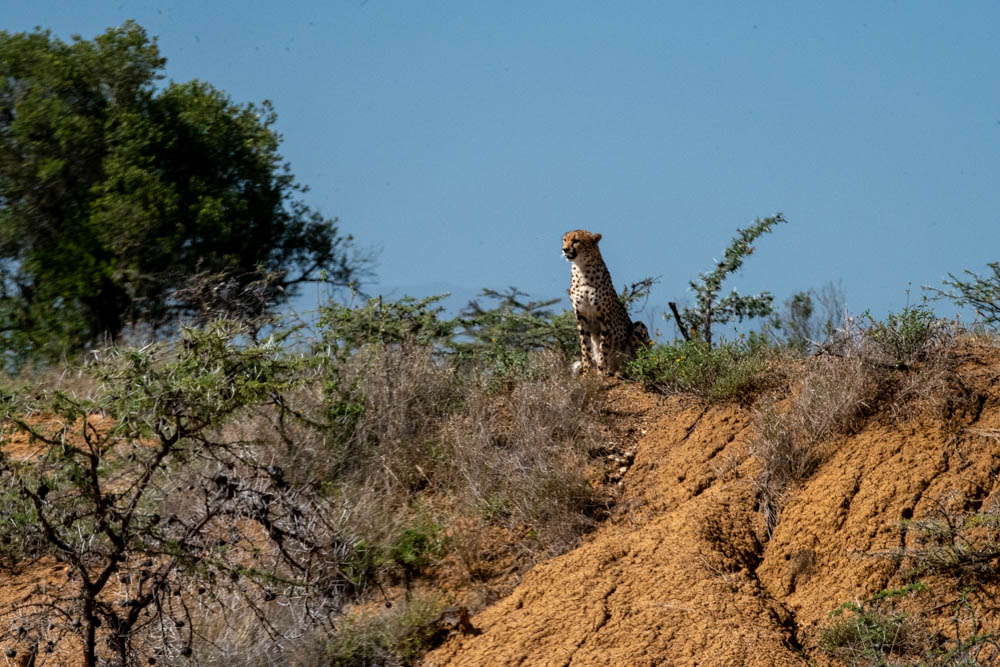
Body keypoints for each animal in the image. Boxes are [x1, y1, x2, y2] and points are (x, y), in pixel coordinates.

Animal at [562, 230, 651, 375]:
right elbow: (585, 347)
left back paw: (623, 371)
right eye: (564, 240)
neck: (582, 270)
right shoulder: (581, 317)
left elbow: (603, 347)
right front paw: (587, 371)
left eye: (576, 241)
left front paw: (600, 371)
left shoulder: (604, 319)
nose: (564, 249)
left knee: (637, 362)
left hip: (639, 328)